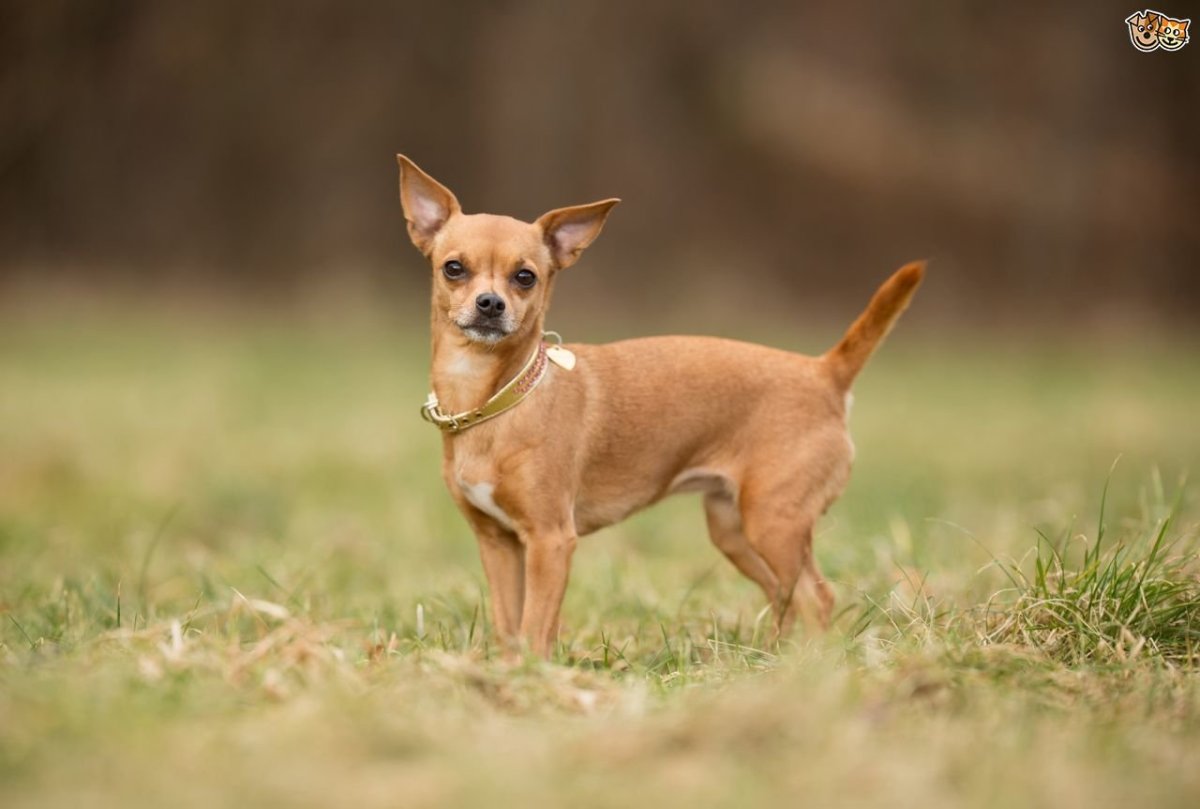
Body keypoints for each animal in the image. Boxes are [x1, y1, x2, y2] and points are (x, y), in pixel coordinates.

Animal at [398, 154, 921, 657]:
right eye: (453, 268)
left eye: (526, 277)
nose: (491, 304)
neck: (494, 400)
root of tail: (823, 372)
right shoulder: (499, 544)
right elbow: (510, 628)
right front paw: (510, 672)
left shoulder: (551, 541)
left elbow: (534, 630)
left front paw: (532, 673)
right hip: (735, 529)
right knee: (785, 596)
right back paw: (770, 662)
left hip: (774, 523)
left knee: (818, 597)